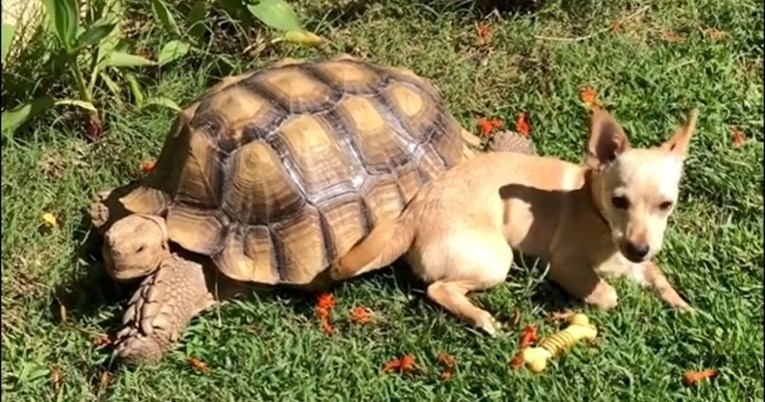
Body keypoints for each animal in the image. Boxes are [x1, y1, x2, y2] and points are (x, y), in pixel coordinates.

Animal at [330, 108, 700, 334]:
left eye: (666, 205)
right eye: (618, 202)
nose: (638, 248)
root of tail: (413, 212)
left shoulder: (634, 262)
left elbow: (658, 277)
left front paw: (686, 308)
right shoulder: (566, 265)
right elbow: (608, 294)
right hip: (496, 260)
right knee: (438, 288)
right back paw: (481, 318)